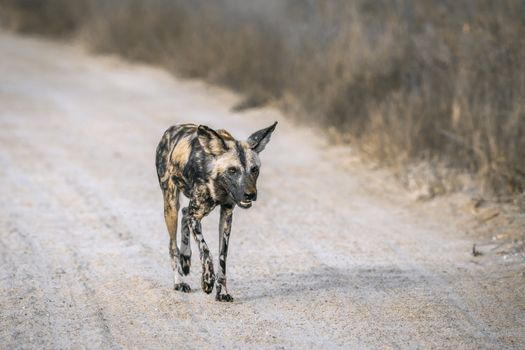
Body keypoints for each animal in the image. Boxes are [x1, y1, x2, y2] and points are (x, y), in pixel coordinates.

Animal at [155, 121, 276, 300]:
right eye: (232, 170)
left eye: (254, 169)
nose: (250, 194)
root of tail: (172, 129)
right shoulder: (195, 217)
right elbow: (206, 251)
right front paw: (207, 281)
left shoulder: (226, 214)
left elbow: (222, 257)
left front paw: (222, 292)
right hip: (171, 205)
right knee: (173, 245)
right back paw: (179, 281)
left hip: (190, 209)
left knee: (185, 212)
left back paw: (186, 258)